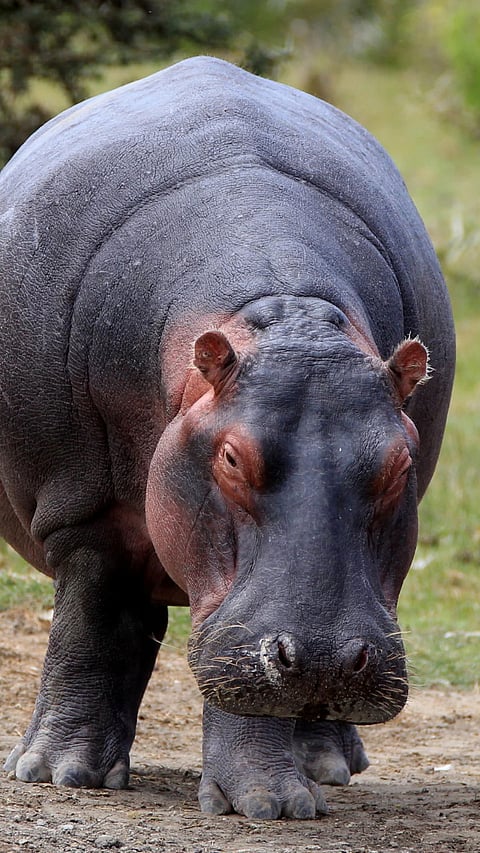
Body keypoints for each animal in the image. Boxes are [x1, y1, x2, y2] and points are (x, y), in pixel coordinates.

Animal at [0, 56, 454, 820]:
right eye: (233, 456)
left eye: (399, 463)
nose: (328, 658)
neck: (281, 311)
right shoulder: (83, 509)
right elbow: (90, 623)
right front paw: (56, 773)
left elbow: (247, 680)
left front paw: (269, 803)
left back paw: (325, 764)